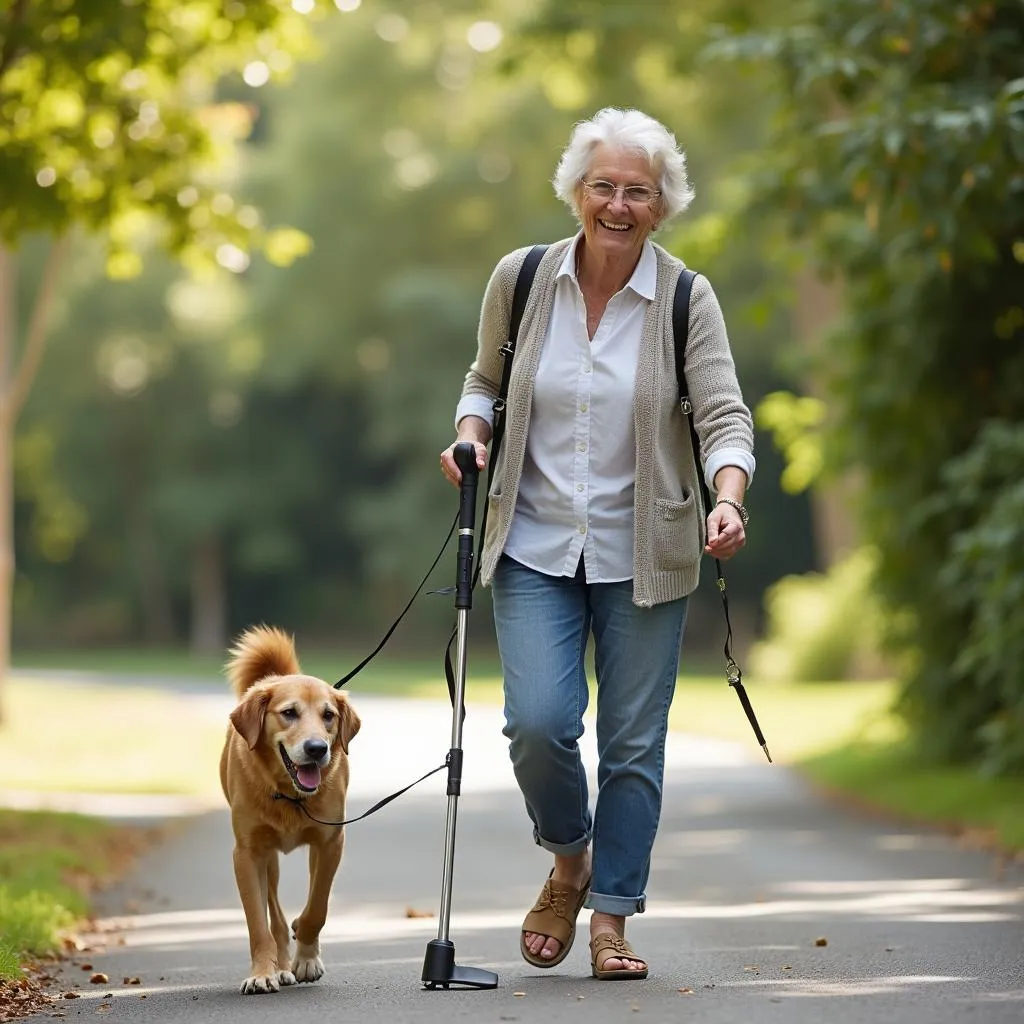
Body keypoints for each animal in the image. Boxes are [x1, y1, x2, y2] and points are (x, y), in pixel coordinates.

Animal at [220, 622, 360, 991]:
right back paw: (280, 967)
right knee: (276, 921)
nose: (316, 749)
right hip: (268, 859)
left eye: (328, 715)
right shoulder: (246, 853)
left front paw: (307, 958)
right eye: (288, 713)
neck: (287, 793)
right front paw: (262, 973)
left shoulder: (330, 842)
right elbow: (259, 924)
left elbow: (317, 908)